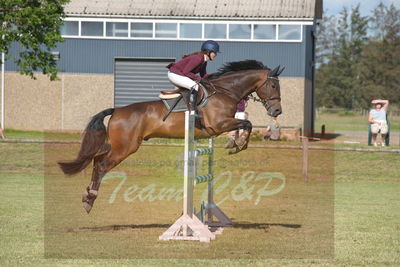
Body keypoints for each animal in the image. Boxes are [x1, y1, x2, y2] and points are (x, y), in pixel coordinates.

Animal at [58, 60, 284, 214]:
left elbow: (246, 123)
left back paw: (87, 196)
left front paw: (236, 144)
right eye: (273, 86)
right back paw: (90, 199)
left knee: (97, 160)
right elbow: (247, 123)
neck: (224, 91)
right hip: (125, 147)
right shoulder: (218, 125)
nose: (277, 111)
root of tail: (117, 110)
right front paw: (238, 145)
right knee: (102, 165)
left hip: (118, 146)